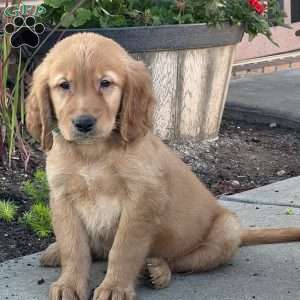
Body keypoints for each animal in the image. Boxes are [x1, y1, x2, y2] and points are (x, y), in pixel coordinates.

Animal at [26, 31, 300, 298]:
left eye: (105, 83)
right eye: (64, 85)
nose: (83, 123)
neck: (93, 153)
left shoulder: (142, 200)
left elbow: (124, 248)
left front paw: (115, 287)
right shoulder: (63, 198)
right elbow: (74, 247)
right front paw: (69, 284)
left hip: (227, 231)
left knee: (182, 261)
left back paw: (157, 270)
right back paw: (55, 251)